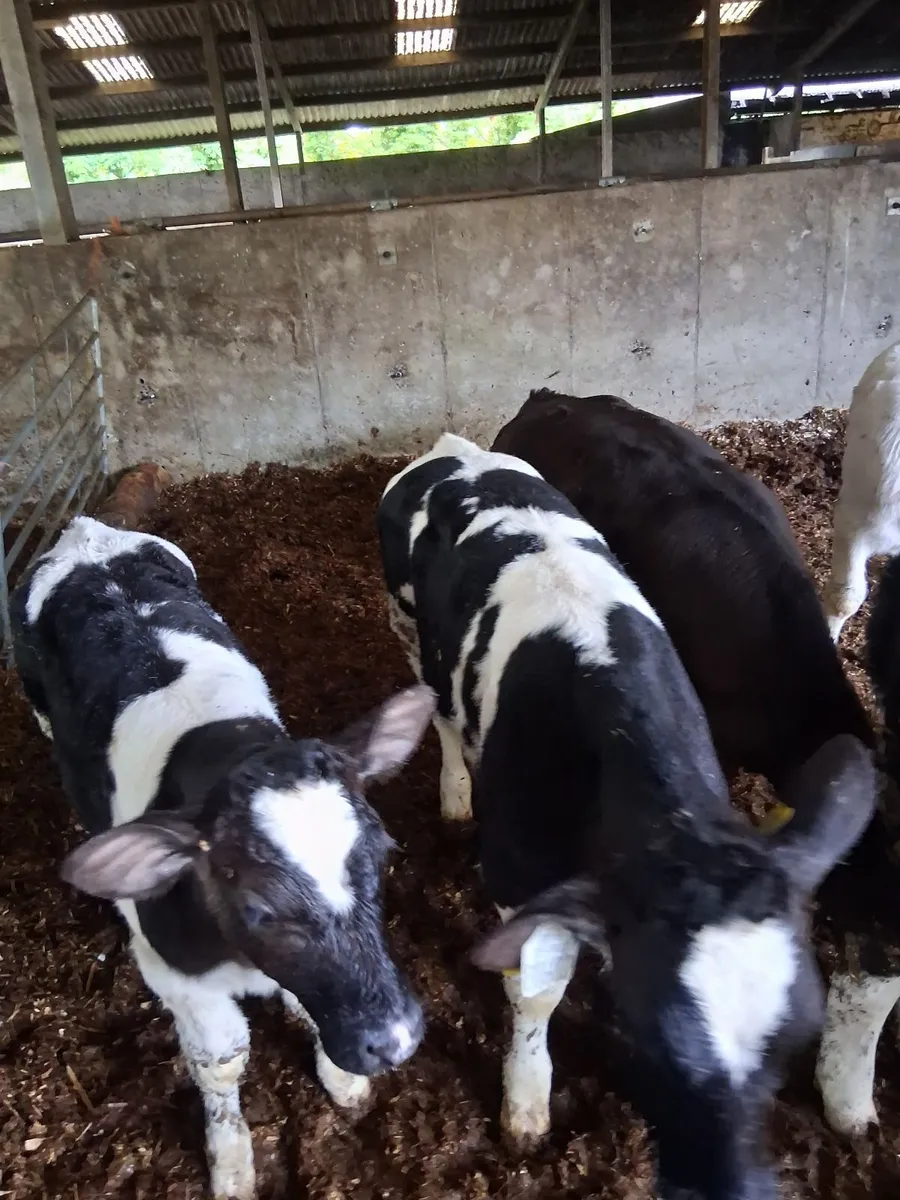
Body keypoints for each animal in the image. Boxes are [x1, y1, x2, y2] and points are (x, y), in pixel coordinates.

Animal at [11, 516, 434, 1200]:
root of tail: (83, 531)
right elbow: (221, 1061)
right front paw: (232, 1162)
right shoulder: (172, 972)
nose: (392, 1041)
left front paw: (342, 1080)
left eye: (383, 855)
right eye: (257, 905)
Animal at [377, 432, 874, 1200]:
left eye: (793, 1043)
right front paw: (526, 1103)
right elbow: (537, 993)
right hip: (405, 622)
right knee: (439, 709)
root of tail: (453, 449)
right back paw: (455, 791)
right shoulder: (515, 870)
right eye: (648, 1040)